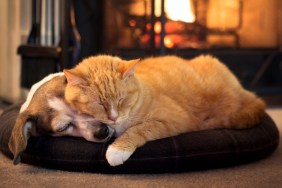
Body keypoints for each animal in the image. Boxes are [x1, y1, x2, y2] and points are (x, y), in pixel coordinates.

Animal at [62, 54, 266, 166]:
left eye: (121, 100)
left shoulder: (175, 119)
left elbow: (138, 129)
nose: (113, 117)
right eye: (100, 104)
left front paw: (117, 150)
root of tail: (242, 89)